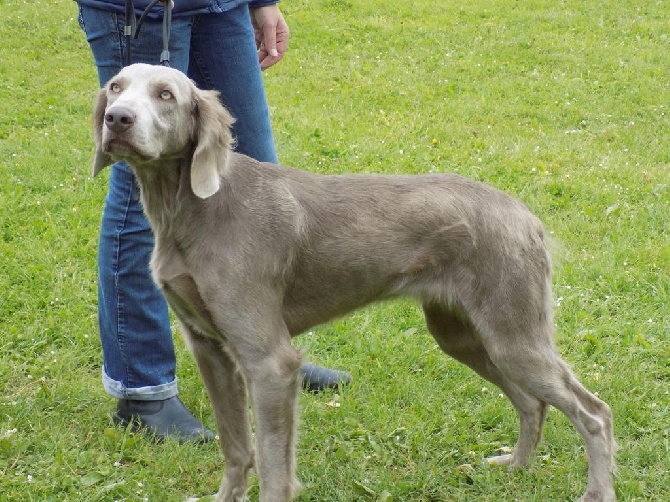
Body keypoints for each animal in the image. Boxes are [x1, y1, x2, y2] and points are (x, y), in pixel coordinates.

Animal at [93, 63, 620, 502]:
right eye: (115, 87)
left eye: (165, 94)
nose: (117, 119)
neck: (195, 209)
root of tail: (526, 216)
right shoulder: (211, 351)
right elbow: (237, 450)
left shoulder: (270, 363)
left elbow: (273, 467)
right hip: (464, 335)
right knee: (533, 403)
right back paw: (516, 467)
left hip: (514, 336)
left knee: (594, 413)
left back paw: (596, 492)